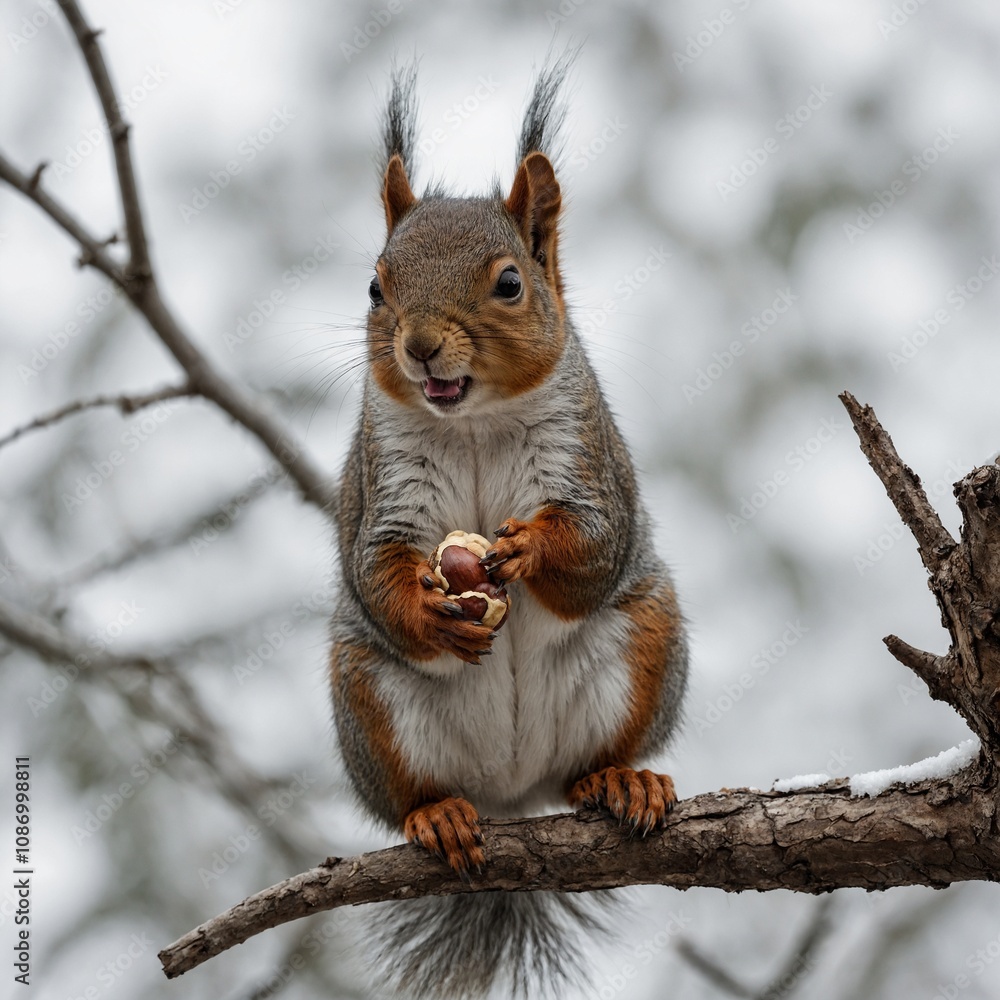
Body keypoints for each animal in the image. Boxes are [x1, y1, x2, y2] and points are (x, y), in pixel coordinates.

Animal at [328, 60, 689, 999]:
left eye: (509, 284)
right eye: (374, 286)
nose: (420, 346)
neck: (475, 423)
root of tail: (513, 794)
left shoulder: (588, 465)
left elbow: (595, 546)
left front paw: (530, 548)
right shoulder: (384, 490)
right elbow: (376, 569)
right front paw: (430, 608)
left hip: (645, 642)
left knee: (588, 766)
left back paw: (623, 779)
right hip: (367, 700)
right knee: (415, 794)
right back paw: (440, 815)